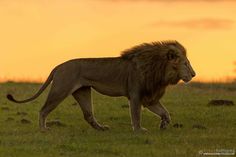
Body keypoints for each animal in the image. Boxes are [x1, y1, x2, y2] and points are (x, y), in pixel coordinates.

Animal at [6, 40, 195, 132]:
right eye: (185, 64)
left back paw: (101, 128)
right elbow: (136, 114)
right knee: (43, 109)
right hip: (60, 89)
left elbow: (165, 112)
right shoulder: (135, 94)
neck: (159, 70)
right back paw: (43, 129)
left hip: (82, 91)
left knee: (88, 115)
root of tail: (58, 66)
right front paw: (139, 130)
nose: (194, 75)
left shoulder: (149, 97)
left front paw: (164, 125)